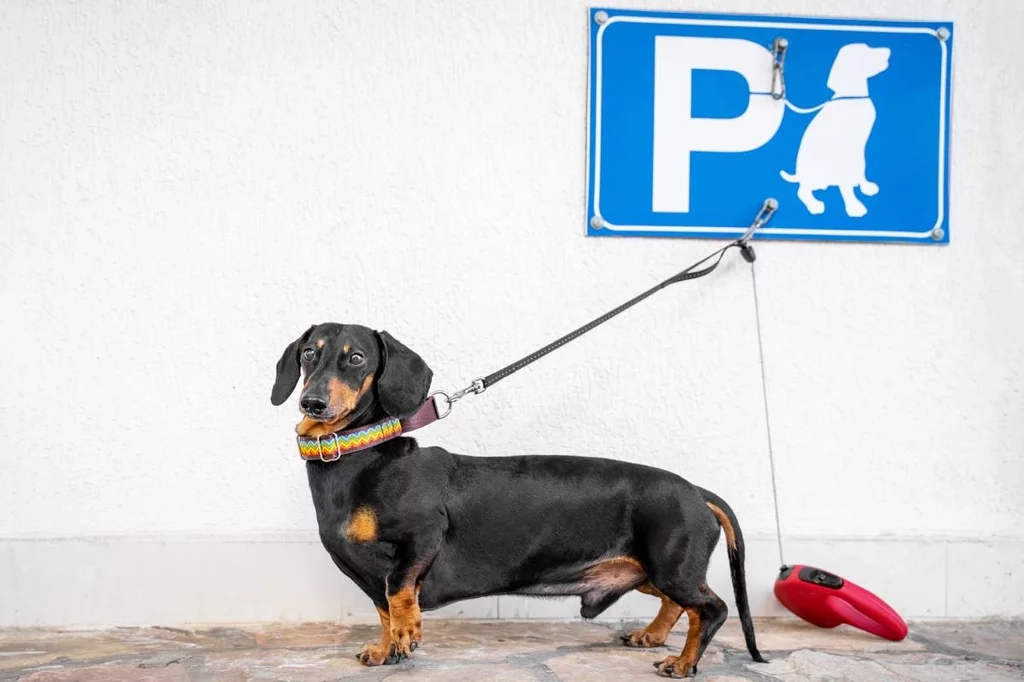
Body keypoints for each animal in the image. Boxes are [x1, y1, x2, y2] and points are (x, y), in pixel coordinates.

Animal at [268, 323, 765, 675]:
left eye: (355, 358)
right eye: (309, 354)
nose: (312, 404)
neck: (361, 457)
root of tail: (696, 490)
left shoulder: (423, 537)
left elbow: (398, 592)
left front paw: (407, 634)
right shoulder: (369, 575)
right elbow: (382, 609)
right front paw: (386, 648)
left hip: (670, 566)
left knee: (712, 609)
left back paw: (683, 663)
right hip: (650, 569)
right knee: (679, 604)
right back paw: (652, 637)